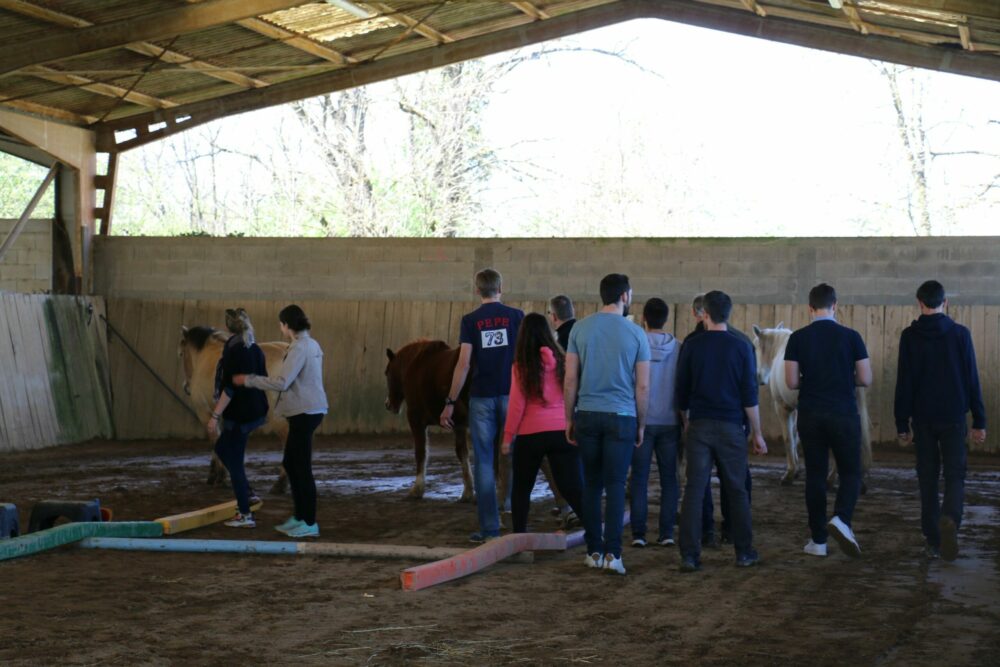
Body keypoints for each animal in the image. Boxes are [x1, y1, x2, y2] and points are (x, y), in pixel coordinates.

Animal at [179, 326, 292, 494]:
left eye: (181, 354)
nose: (186, 386)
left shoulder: (205, 413)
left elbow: (215, 441)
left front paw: (217, 476)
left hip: (277, 418)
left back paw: (281, 483)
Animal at [748, 324, 872, 488]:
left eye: (755, 348)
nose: (757, 377)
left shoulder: (783, 407)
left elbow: (788, 438)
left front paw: (790, 473)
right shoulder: (795, 408)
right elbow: (795, 436)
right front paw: (796, 470)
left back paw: (831, 478)